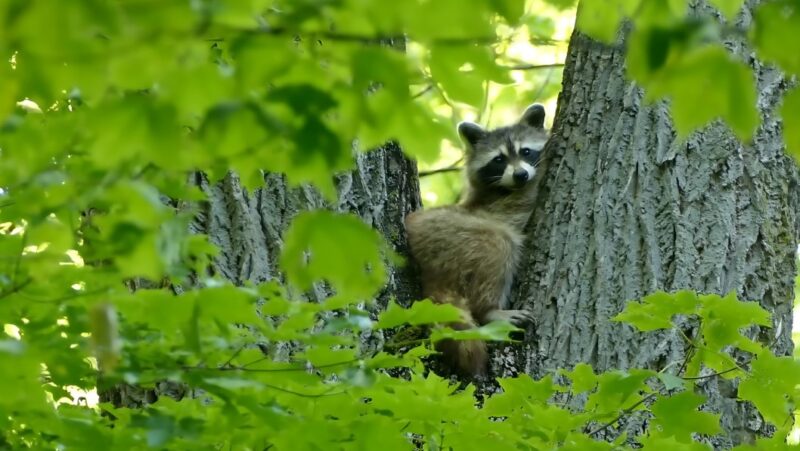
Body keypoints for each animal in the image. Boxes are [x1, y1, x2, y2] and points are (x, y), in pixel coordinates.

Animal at [404, 103, 548, 378]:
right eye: (499, 160)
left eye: (525, 151)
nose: (521, 175)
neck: (506, 188)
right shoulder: (510, 202)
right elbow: (529, 196)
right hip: (458, 234)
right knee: (499, 245)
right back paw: (490, 310)